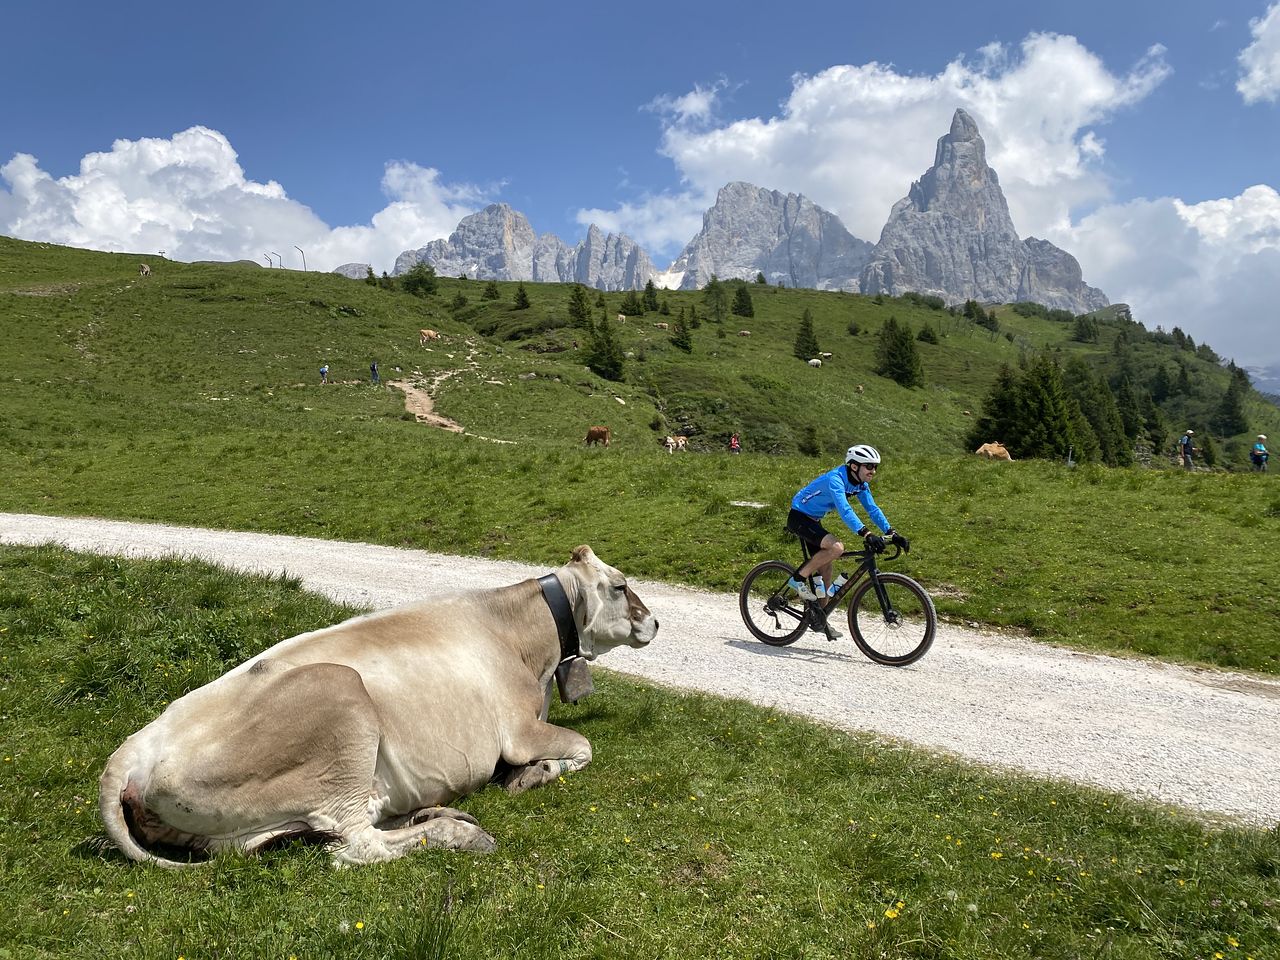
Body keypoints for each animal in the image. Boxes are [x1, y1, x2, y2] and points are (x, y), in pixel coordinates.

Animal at [98, 545, 655, 870]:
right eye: (620, 585)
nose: (654, 622)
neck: (521, 637)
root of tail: (133, 748)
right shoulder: (518, 730)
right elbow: (583, 745)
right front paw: (534, 773)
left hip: (236, 832)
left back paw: (433, 813)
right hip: (339, 699)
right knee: (354, 846)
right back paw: (457, 832)